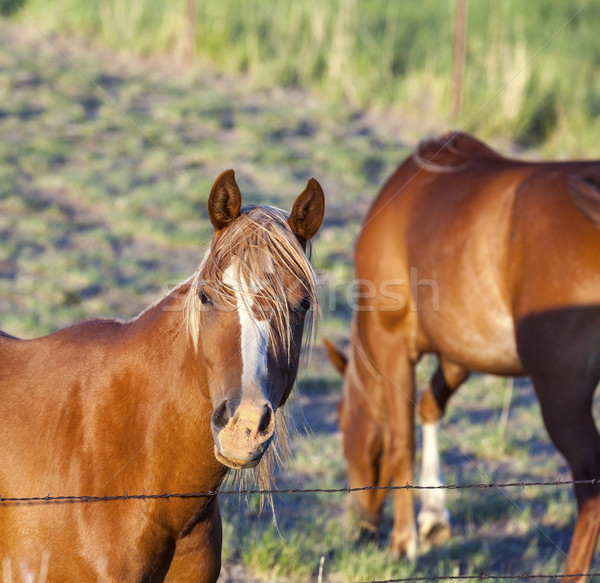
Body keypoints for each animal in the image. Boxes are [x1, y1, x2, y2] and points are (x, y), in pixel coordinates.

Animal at [326, 133, 600, 583]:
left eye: (339, 420)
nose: (361, 523)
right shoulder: (461, 351)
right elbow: (430, 406)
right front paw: (433, 514)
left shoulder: (394, 345)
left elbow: (401, 441)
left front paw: (403, 540)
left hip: (561, 397)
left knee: (589, 485)